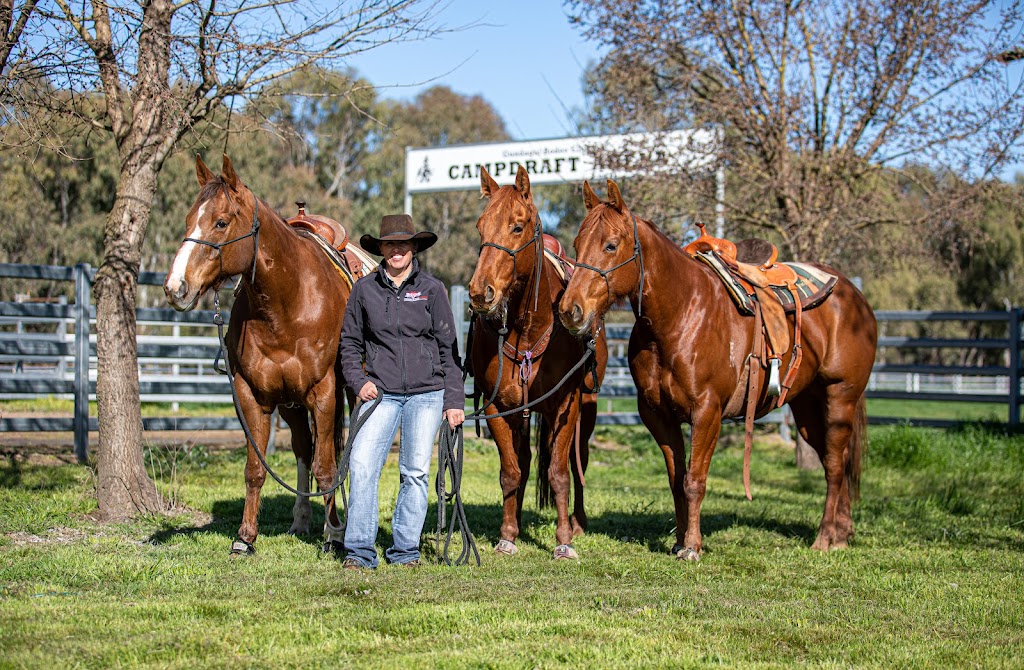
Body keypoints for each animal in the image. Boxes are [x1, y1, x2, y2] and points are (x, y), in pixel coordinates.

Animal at [166, 155, 356, 557]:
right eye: (189, 219)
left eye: (221, 222)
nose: (175, 287)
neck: (287, 303)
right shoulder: (252, 394)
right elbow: (256, 469)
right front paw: (245, 537)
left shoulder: (324, 392)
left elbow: (327, 468)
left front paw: (334, 535)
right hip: (291, 403)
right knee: (303, 449)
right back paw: (300, 520)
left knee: (336, 452)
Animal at [468, 166, 606, 561]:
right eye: (481, 227)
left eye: (517, 226)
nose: (479, 292)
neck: (529, 329)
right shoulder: (498, 407)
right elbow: (511, 472)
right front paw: (507, 536)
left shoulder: (566, 405)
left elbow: (560, 473)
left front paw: (564, 540)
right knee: (526, 462)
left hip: (587, 409)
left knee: (578, 462)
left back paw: (577, 522)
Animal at [557, 180, 876, 561]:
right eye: (577, 245)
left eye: (610, 244)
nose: (570, 310)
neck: (681, 315)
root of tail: (854, 295)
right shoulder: (657, 415)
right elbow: (676, 480)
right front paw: (679, 540)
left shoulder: (707, 413)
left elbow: (694, 480)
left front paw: (692, 546)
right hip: (808, 408)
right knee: (836, 460)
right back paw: (843, 532)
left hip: (840, 396)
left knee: (834, 465)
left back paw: (826, 537)